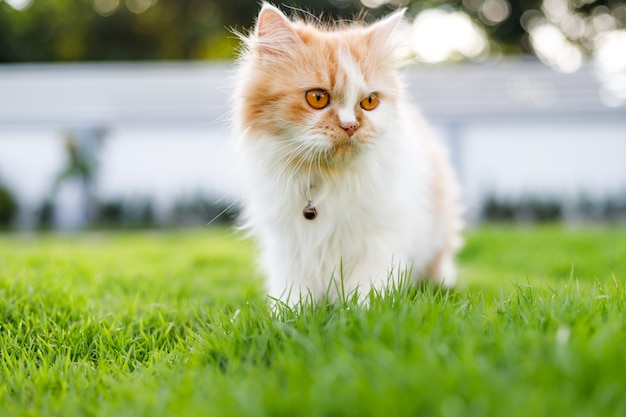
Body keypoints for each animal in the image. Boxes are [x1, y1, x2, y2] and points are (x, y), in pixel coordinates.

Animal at [228, 2, 458, 302]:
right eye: (317, 98)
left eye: (369, 102)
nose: (351, 126)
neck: (326, 179)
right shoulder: (289, 247)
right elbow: (293, 299)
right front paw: (294, 312)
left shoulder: (380, 239)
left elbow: (366, 294)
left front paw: (360, 310)